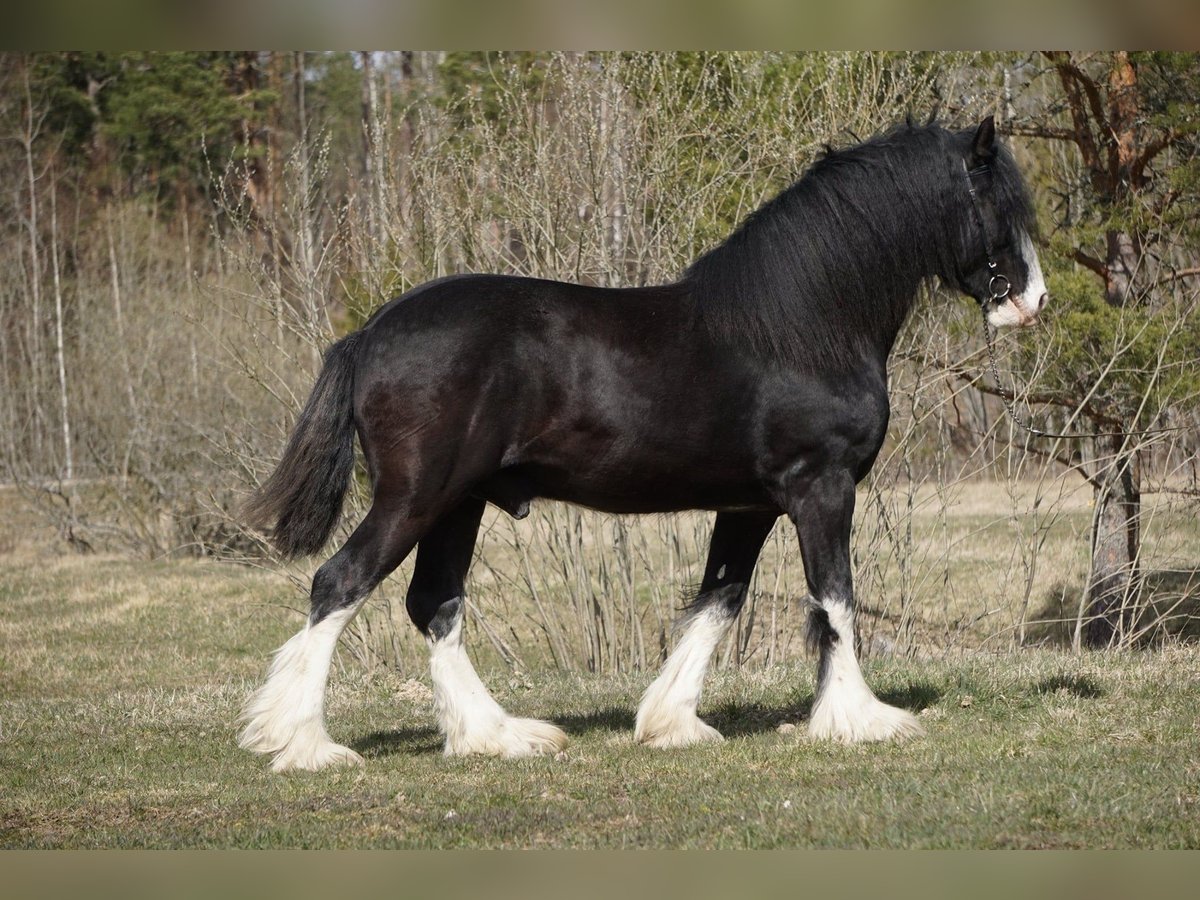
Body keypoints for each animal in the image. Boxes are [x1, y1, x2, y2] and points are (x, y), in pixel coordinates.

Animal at [241, 116, 1041, 772]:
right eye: (997, 205)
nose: (1032, 302)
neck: (805, 327)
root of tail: (369, 334)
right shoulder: (822, 487)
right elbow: (835, 597)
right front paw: (860, 718)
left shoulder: (750, 504)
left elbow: (720, 598)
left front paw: (671, 722)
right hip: (416, 496)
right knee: (339, 584)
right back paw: (306, 744)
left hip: (456, 504)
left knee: (434, 603)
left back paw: (496, 735)